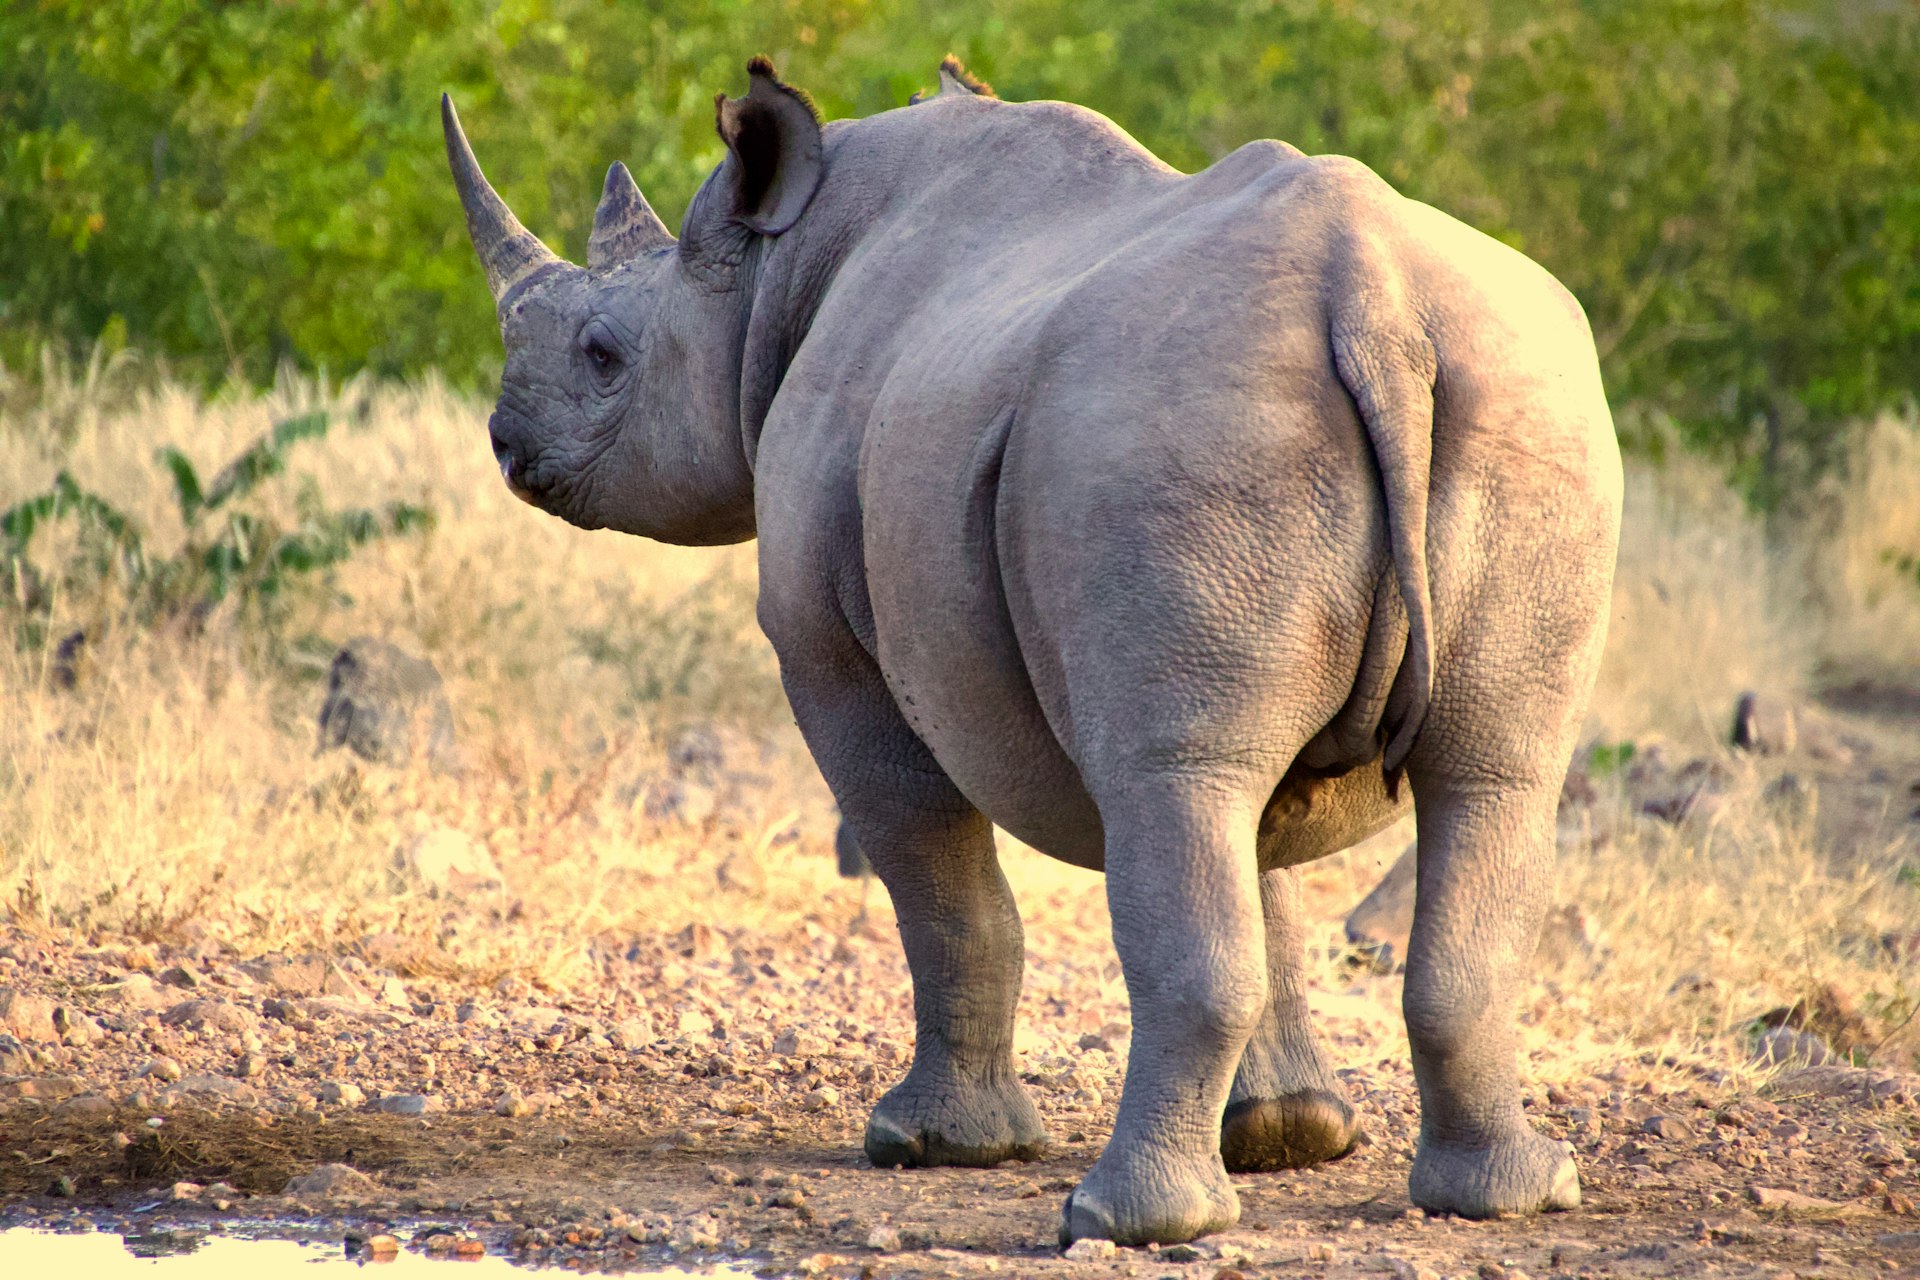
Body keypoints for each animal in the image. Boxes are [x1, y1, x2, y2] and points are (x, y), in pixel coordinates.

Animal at [441, 56, 1621, 1245]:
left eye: (603, 355)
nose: (504, 441)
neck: (777, 271)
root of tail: (1372, 301)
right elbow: (1266, 866)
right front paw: (1288, 1134)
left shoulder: (829, 648)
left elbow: (942, 883)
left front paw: (931, 1145)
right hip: (1521, 411)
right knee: (1483, 776)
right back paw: (1507, 1196)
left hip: (1170, 433)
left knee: (1172, 781)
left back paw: (1120, 1219)